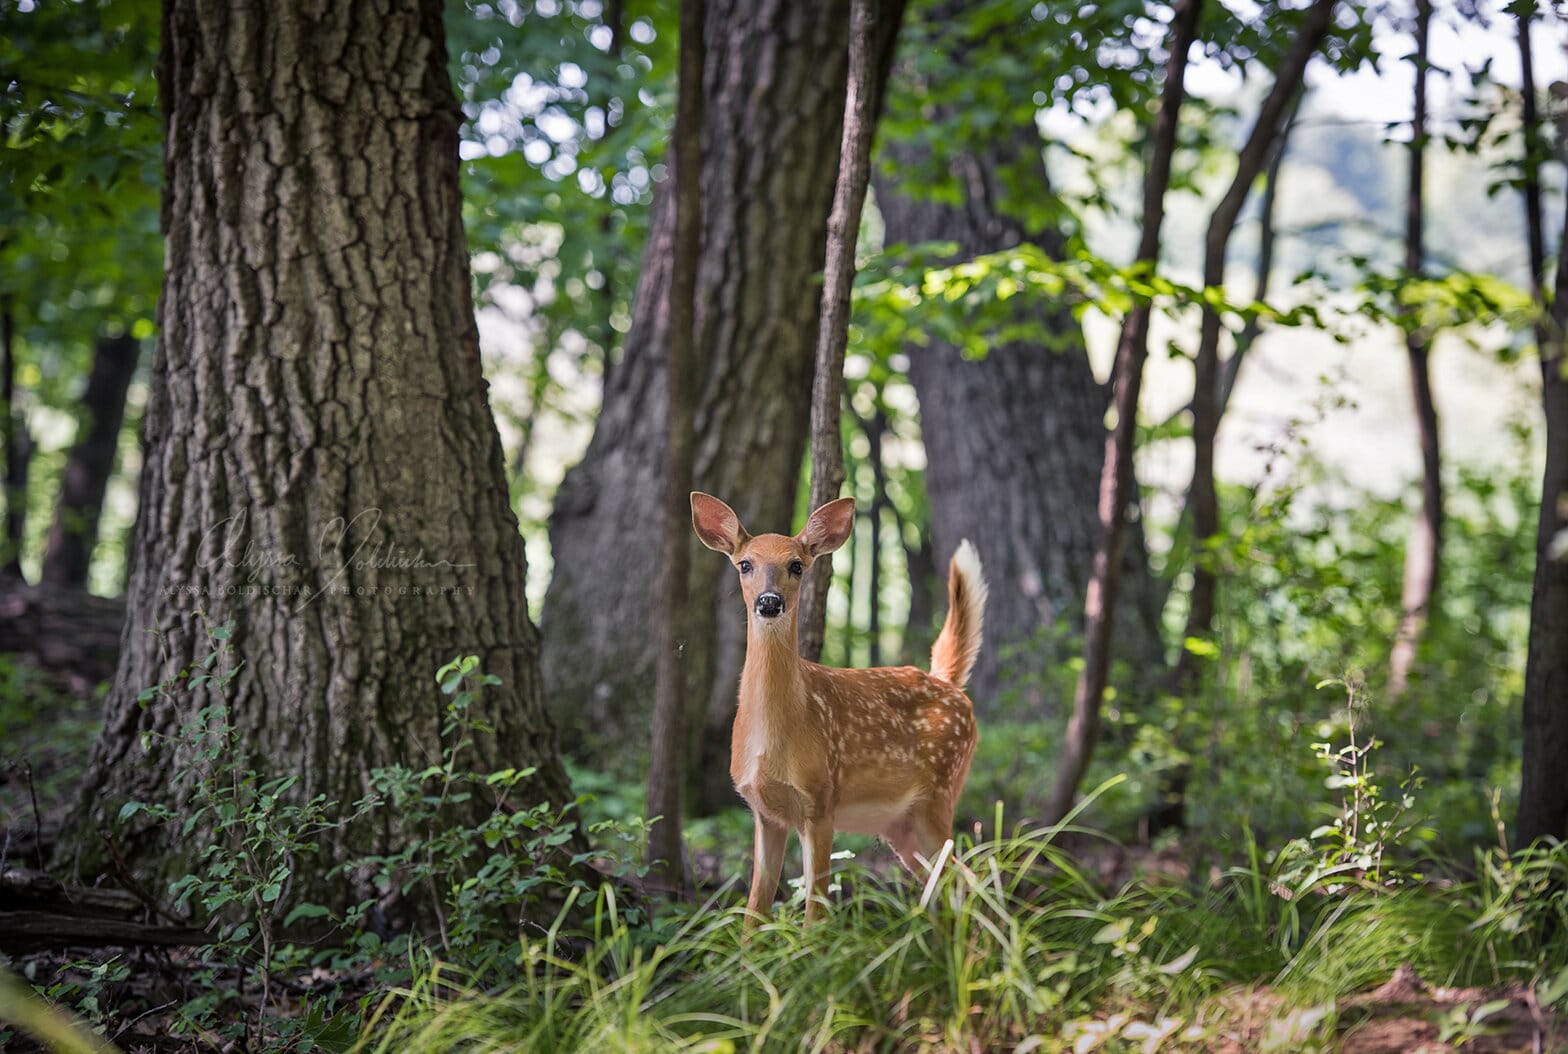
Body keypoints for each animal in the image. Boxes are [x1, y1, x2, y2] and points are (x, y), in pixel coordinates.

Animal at [691, 491, 986, 926]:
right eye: (745, 564)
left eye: (796, 565)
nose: (769, 601)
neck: (773, 737)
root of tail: (947, 681)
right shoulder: (764, 812)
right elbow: (754, 911)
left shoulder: (820, 801)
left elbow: (815, 911)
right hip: (900, 826)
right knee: (950, 884)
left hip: (940, 794)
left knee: (970, 877)